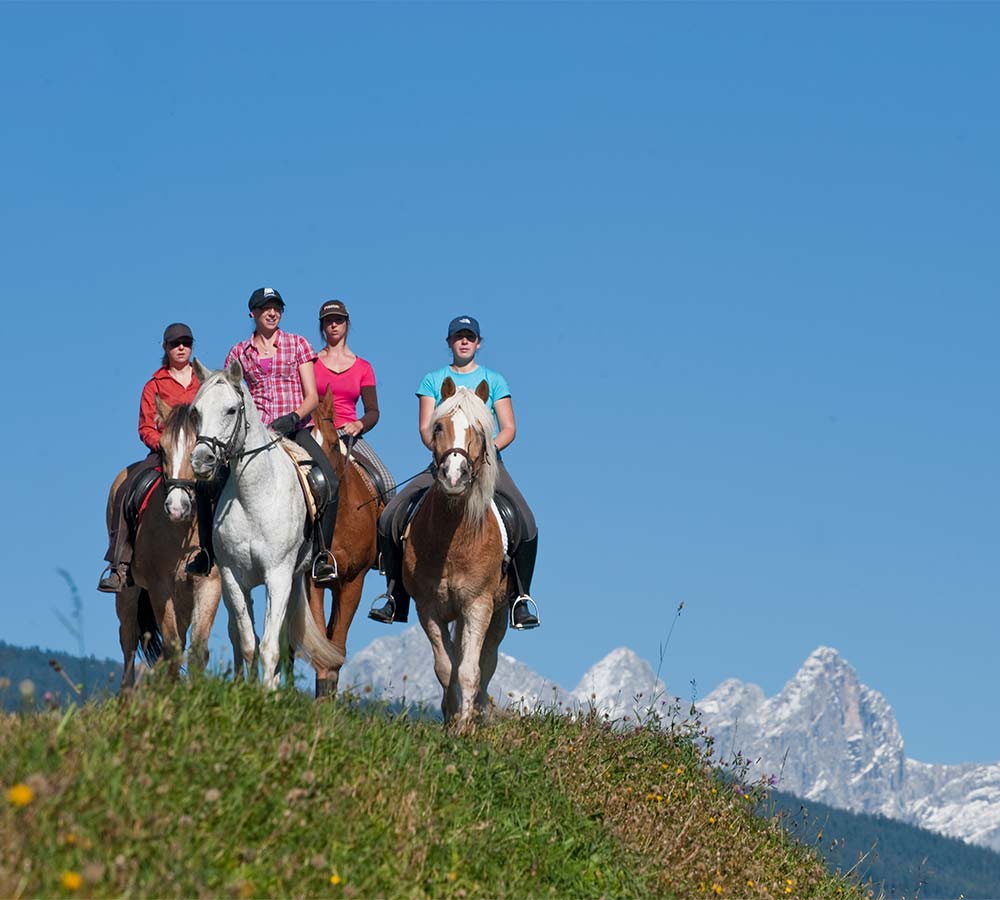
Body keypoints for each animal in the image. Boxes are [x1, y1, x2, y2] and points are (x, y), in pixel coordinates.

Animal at [105, 400, 223, 688]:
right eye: (162, 448)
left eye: (199, 451)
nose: (176, 507)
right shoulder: (160, 587)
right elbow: (172, 647)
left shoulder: (209, 583)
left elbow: (197, 649)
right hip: (128, 592)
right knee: (128, 640)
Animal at [189, 358, 346, 688]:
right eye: (196, 411)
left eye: (231, 410)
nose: (201, 460)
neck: (255, 496)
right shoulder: (232, 578)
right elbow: (249, 643)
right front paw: (248, 692)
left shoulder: (278, 575)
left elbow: (271, 647)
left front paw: (267, 694)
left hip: (294, 579)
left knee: (284, 642)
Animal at [306, 386, 384, 696]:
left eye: (330, 443)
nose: (315, 484)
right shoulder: (314, 580)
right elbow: (320, 643)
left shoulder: (353, 582)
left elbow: (336, 646)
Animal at [400, 376, 508, 736]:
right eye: (438, 427)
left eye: (479, 431)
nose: (454, 476)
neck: (453, 543)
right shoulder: (428, 608)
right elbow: (446, 667)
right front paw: (451, 719)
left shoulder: (478, 606)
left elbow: (470, 669)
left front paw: (465, 727)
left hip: (499, 614)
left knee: (487, 661)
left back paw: (479, 712)